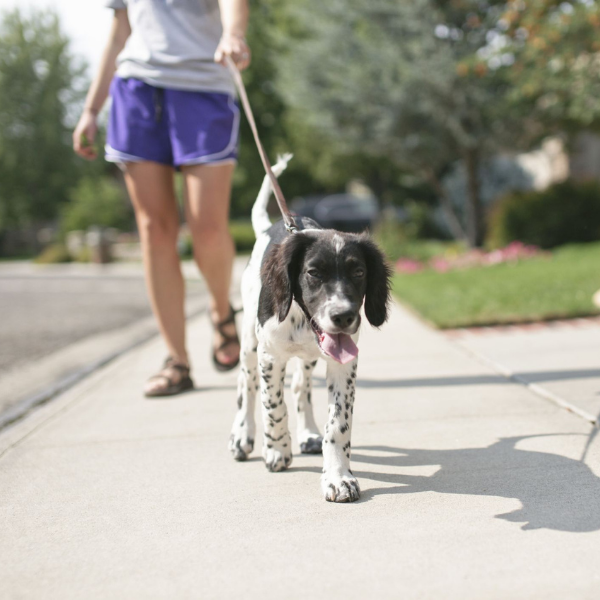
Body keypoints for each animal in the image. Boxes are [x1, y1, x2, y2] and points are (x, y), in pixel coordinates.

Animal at [227, 155, 392, 502]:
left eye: (359, 272)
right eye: (314, 273)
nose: (344, 316)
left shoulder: (344, 363)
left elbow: (338, 424)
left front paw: (338, 477)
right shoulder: (270, 356)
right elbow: (273, 406)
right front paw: (276, 450)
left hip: (309, 357)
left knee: (300, 387)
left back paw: (308, 434)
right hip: (249, 343)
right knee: (246, 385)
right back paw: (242, 436)